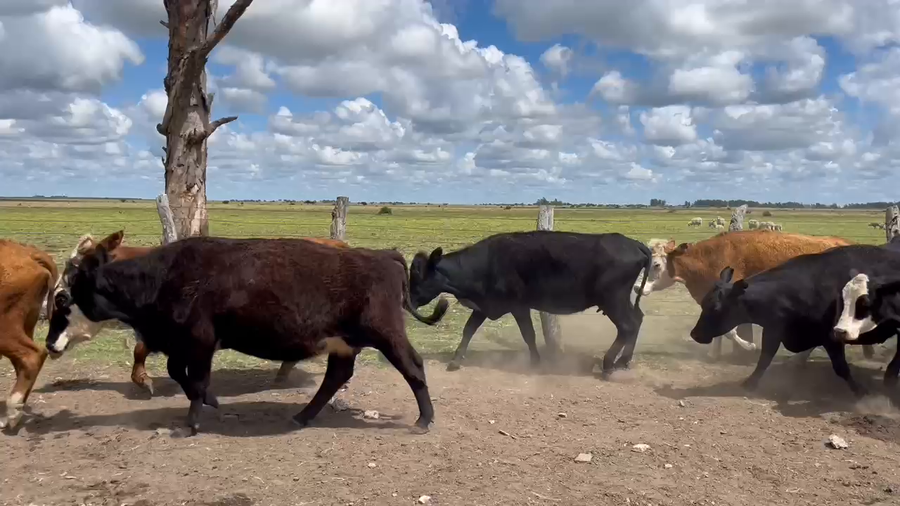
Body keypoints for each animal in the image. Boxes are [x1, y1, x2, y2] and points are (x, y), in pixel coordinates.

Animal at [407, 230, 652, 377]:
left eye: (418, 275)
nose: (408, 300)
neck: (484, 264)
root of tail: (633, 244)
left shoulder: (518, 306)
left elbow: (528, 334)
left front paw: (535, 362)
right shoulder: (485, 306)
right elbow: (469, 330)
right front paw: (455, 361)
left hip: (613, 300)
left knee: (627, 326)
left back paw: (609, 364)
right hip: (622, 301)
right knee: (637, 320)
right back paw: (623, 362)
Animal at [635, 230, 858, 360]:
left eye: (656, 265)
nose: (637, 288)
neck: (710, 260)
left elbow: (730, 331)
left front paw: (749, 346)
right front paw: (714, 353)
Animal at [689, 244, 900, 397]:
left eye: (716, 308)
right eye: (704, 302)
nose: (694, 334)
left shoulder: (831, 336)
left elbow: (841, 368)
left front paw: (861, 391)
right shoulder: (774, 330)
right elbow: (764, 359)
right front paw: (750, 383)